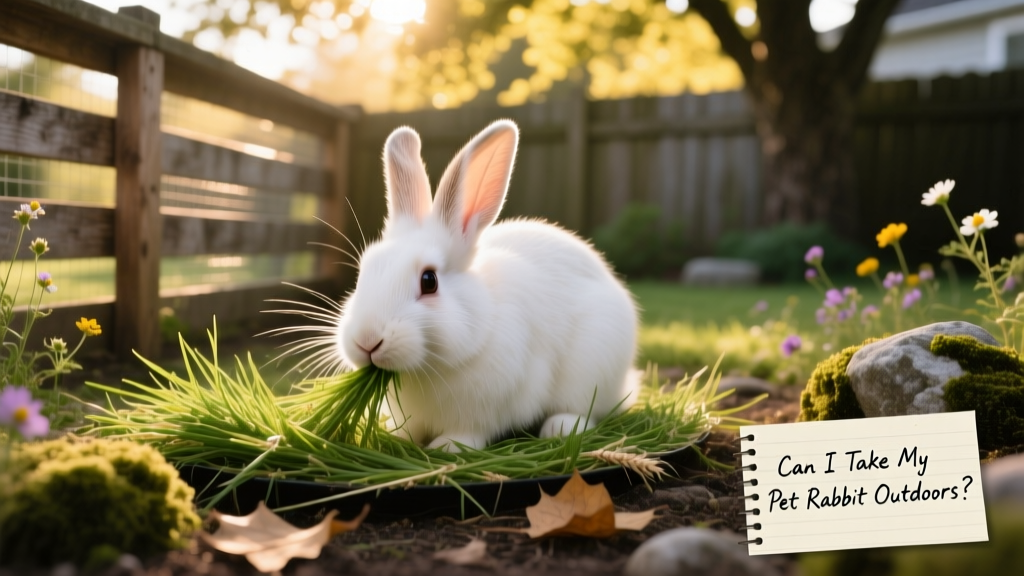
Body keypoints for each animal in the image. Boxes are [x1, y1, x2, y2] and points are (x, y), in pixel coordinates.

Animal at [335, 119, 639, 451]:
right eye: (363, 273)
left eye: (429, 281)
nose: (367, 341)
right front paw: (393, 435)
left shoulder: (487, 407)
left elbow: (470, 432)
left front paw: (447, 446)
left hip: (593, 369)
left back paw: (561, 427)